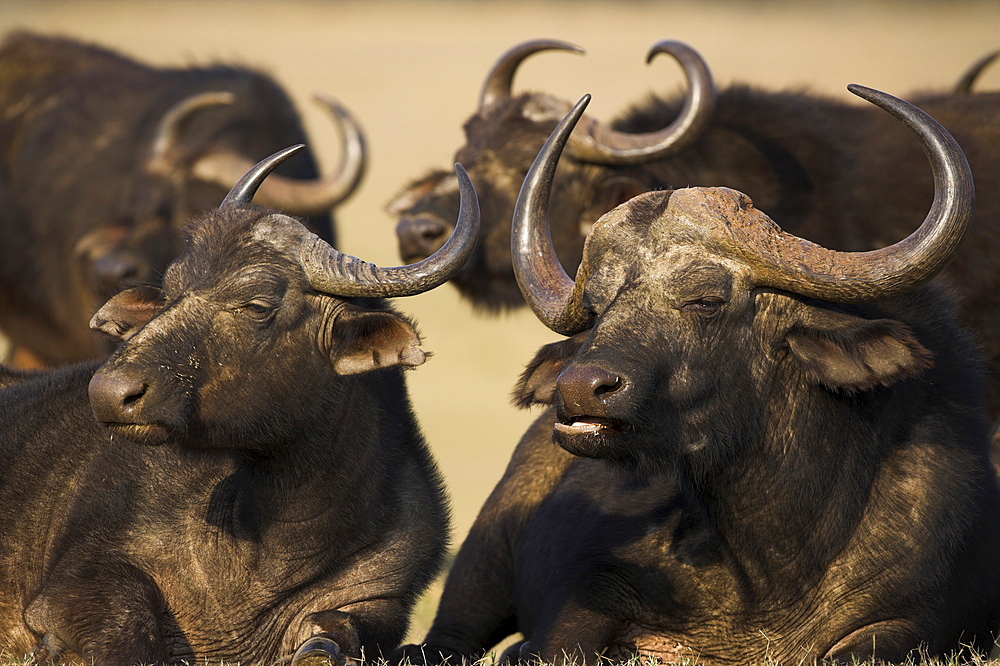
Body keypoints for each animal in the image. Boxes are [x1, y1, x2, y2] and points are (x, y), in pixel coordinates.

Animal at [0, 145, 480, 664]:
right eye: (170, 293)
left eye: (256, 305)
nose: (107, 392)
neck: (275, 532)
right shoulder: (80, 584)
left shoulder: (381, 598)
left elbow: (336, 634)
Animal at [396, 89, 1000, 664]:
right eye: (596, 306)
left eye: (706, 300)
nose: (578, 389)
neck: (772, 560)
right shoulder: (586, 593)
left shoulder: (907, 619)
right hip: (480, 563)